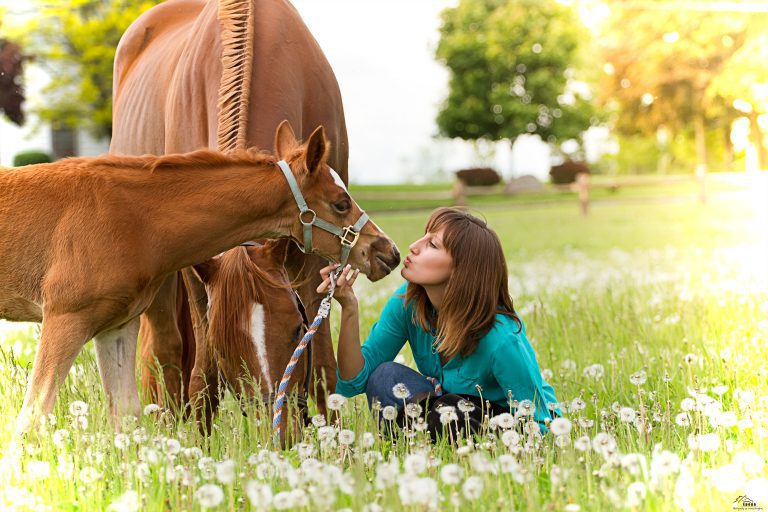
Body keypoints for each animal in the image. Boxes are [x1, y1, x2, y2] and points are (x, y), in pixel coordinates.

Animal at [0, 121, 399, 436]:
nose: (388, 252)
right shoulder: (64, 318)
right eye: (341, 203)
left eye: (296, 328)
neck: (131, 218)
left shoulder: (117, 326)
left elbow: (127, 419)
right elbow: (31, 419)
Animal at [110, 0, 358, 411]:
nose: (274, 413)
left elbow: (322, 365)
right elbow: (203, 378)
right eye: (225, 345)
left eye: (295, 327)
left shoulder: (317, 249)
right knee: (165, 349)